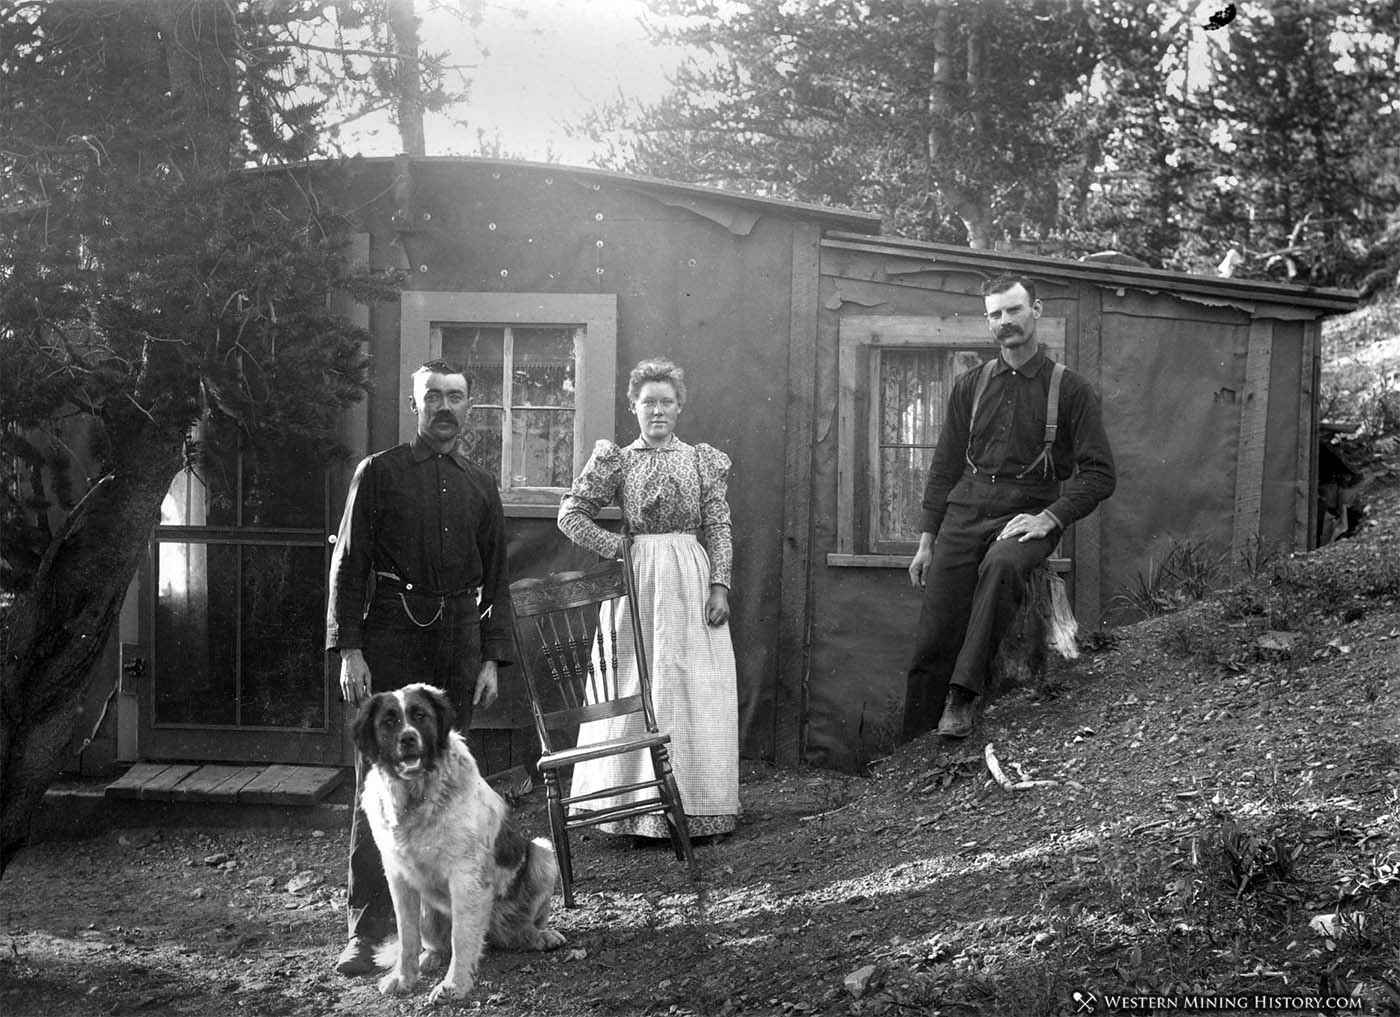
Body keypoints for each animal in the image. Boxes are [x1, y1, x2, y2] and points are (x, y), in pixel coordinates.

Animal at [355, 686, 562, 1002]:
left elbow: (462, 937)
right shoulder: (399, 877)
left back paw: (538, 936)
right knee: (434, 942)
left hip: (543, 853)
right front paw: (403, 977)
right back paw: (428, 958)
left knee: (518, 927)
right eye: (388, 722)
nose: (408, 738)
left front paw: (454, 985)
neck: (416, 797)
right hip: (427, 903)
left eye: (420, 715)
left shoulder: (465, 876)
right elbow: (406, 936)